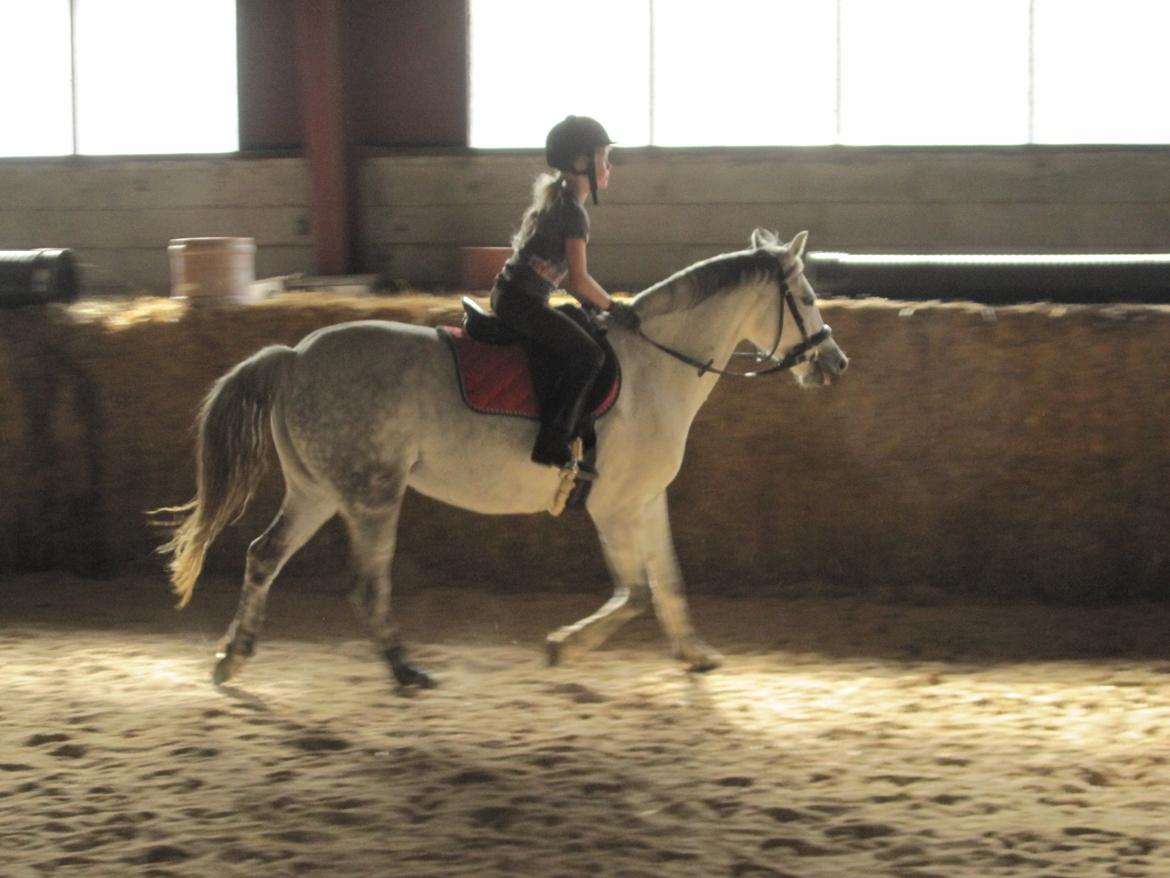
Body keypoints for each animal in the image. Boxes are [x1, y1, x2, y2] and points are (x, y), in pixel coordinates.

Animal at [156, 229, 849, 689]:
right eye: (808, 297)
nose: (835, 364)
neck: (656, 365)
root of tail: (295, 358)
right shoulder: (612, 504)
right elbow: (633, 594)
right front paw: (563, 648)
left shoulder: (647, 498)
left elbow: (668, 582)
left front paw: (695, 654)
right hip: (371, 496)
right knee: (366, 584)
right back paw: (405, 670)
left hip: (317, 490)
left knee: (262, 557)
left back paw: (233, 657)